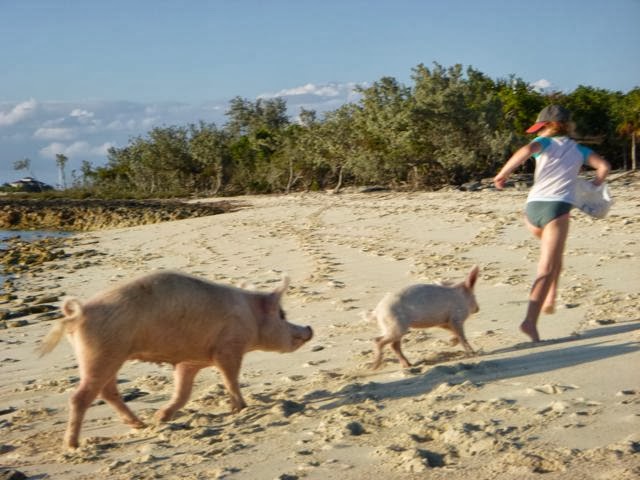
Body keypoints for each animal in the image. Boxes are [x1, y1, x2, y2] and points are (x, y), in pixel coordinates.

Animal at [37, 271, 313, 449]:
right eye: (282, 315)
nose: (309, 328)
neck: (251, 318)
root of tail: (78, 313)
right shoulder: (228, 348)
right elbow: (230, 378)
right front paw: (240, 408)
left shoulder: (190, 361)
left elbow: (183, 391)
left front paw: (162, 417)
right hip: (100, 353)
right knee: (80, 396)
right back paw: (73, 445)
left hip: (108, 356)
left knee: (107, 391)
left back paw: (141, 424)